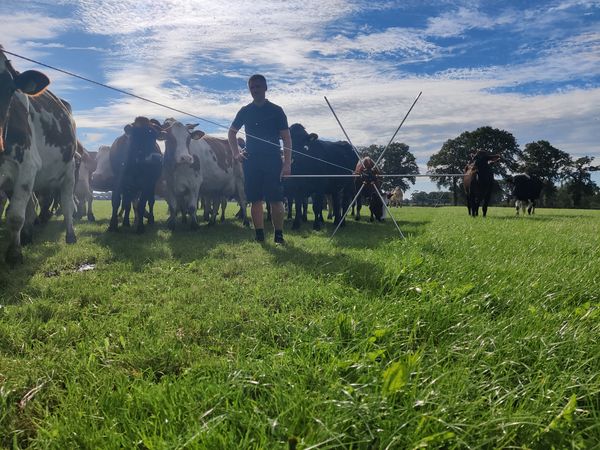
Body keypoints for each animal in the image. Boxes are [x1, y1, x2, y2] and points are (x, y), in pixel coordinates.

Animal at [0, 45, 77, 264]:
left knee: (67, 202)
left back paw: (70, 235)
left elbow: (15, 216)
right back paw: (27, 236)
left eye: (9, 89)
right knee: (33, 205)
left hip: (69, 170)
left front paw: (14, 254)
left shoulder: (27, 164)